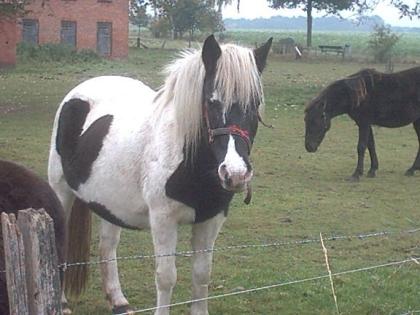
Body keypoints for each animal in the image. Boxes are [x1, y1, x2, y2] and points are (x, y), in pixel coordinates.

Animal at [48, 35, 272, 314]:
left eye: (255, 104)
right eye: (212, 102)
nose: (236, 173)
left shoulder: (211, 220)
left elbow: (202, 274)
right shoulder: (163, 220)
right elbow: (166, 277)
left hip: (109, 203)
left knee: (107, 246)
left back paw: (119, 301)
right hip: (60, 190)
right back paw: (63, 303)